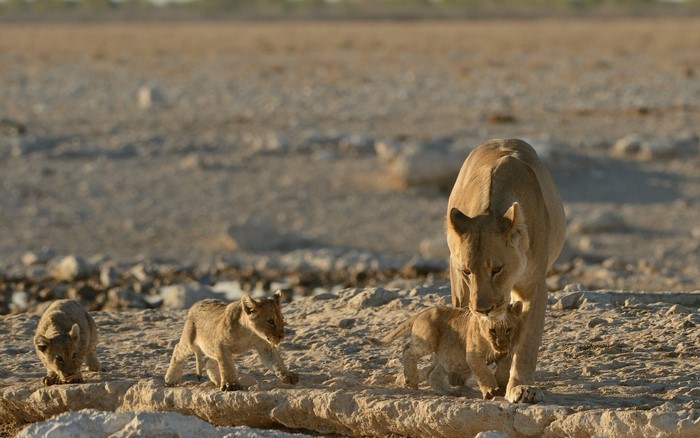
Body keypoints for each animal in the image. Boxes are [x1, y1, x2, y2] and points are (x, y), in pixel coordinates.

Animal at [164, 291, 299, 391]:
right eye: (270, 321)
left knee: (209, 361)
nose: (281, 336)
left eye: (282, 319)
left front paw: (287, 376)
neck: (248, 332)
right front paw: (231, 385)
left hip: (210, 346)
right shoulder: (221, 345)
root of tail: (196, 304)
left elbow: (275, 361)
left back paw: (218, 381)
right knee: (178, 349)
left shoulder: (265, 346)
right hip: (190, 341)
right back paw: (170, 380)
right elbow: (227, 365)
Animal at [381, 302, 523, 399]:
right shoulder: (473, 355)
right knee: (407, 350)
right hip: (427, 341)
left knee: (432, 375)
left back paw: (451, 392)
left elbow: (505, 367)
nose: (501, 345)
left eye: (508, 329)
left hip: (448, 357)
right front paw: (492, 391)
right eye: (492, 330)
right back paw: (412, 380)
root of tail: (423, 311)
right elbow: (485, 373)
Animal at [446, 139, 566, 403]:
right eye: (467, 271)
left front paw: (522, 387)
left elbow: (526, 342)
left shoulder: (534, 287)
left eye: (497, 269)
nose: (483, 309)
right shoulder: (458, 277)